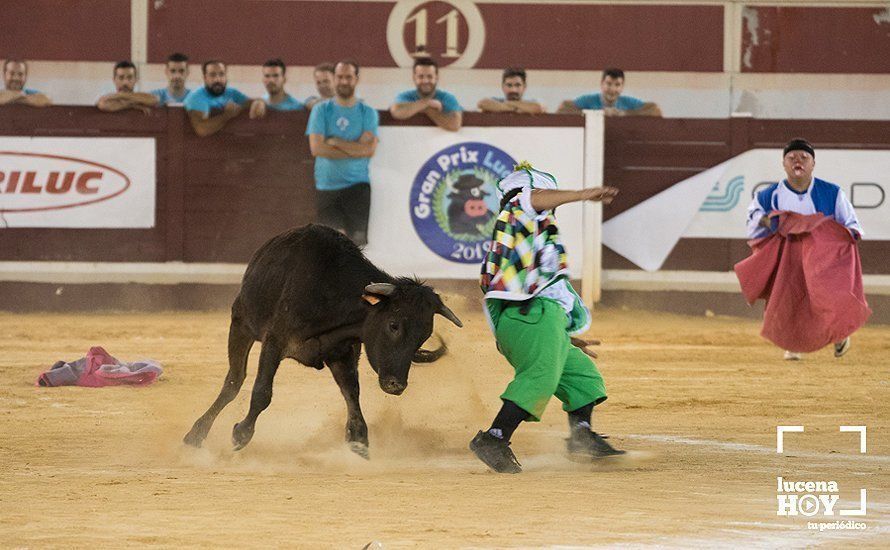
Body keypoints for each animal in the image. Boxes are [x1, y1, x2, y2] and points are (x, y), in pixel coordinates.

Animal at [180, 226, 458, 460]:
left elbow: (352, 395)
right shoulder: (274, 341)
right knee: (234, 381)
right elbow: (262, 392)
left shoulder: (342, 353)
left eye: (423, 337)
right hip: (240, 323)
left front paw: (360, 444)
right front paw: (240, 434)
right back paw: (195, 435)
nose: (396, 385)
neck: (332, 293)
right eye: (393, 325)